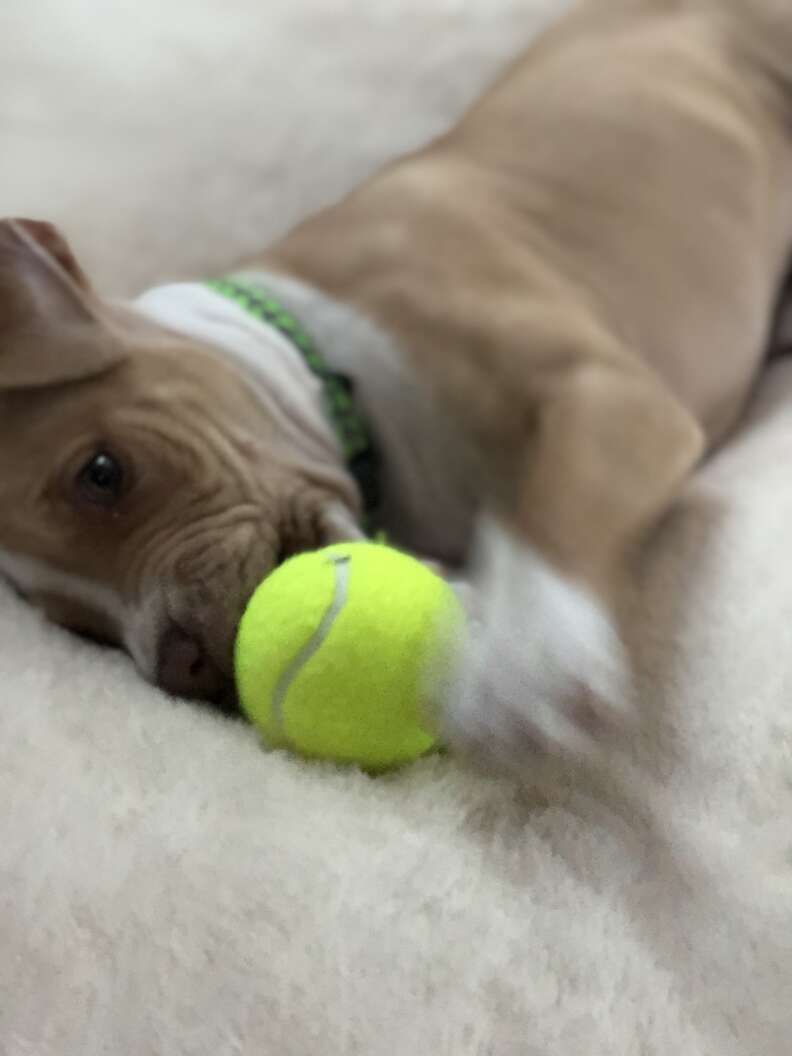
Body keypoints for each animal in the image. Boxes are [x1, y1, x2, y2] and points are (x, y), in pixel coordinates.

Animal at [1, 0, 792, 777]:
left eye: (102, 473)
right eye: (77, 625)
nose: (184, 667)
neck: (327, 364)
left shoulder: (608, 394)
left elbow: (546, 511)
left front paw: (527, 663)